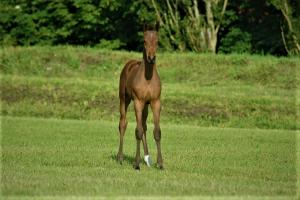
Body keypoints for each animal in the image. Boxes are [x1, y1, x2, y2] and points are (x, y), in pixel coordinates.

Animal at [117, 21, 164, 170]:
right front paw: (136, 163)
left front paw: (160, 163)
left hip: (145, 106)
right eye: (144, 41)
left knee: (144, 125)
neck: (148, 78)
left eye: (157, 41)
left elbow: (156, 132)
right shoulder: (137, 102)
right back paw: (120, 157)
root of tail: (129, 64)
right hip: (124, 100)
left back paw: (147, 158)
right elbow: (137, 131)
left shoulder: (155, 102)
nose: (151, 58)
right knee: (123, 124)